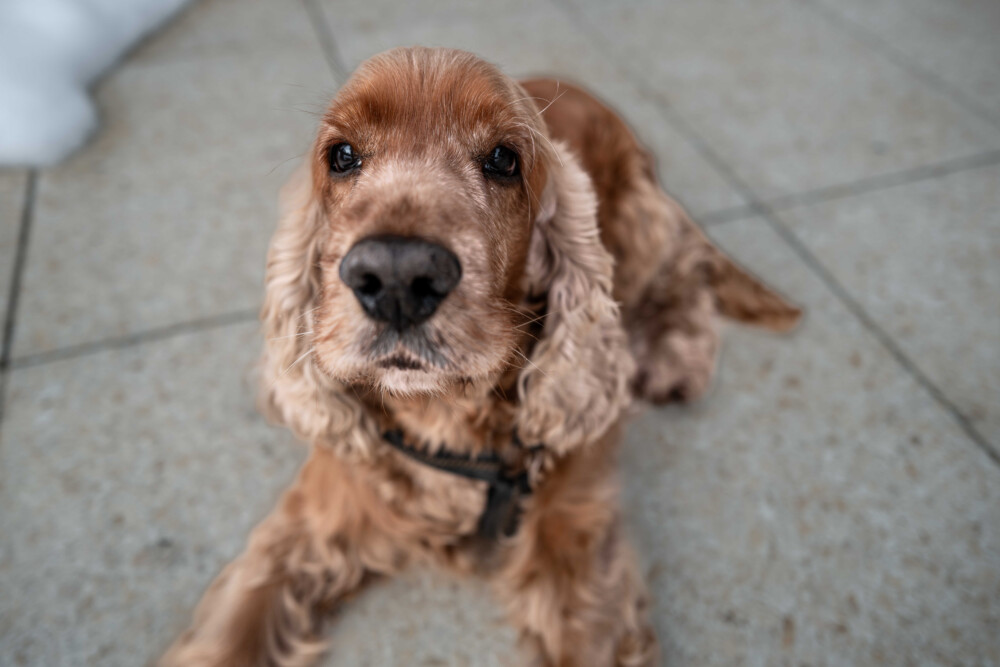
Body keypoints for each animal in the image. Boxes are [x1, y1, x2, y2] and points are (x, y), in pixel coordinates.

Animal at [162, 47, 800, 667]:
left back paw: (673, 359)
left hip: (638, 221)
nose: (397, 277)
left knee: (685, 263)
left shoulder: (581, 563)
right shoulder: (306, 526)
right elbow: (228, 636)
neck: (444, 414)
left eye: (503, 160)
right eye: (341, 155)